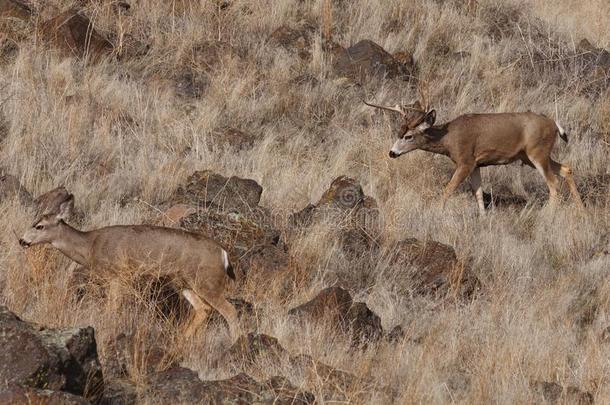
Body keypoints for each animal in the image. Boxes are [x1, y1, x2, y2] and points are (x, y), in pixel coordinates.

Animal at [19, 194, 238, 340]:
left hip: (207, 281)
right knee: (203, 309)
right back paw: (183, 338)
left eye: (39, 226)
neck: (90, 247)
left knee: (230, 310)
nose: (22, 240)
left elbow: (112, 308)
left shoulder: (117, 275)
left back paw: (235, 343)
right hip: (184, 282)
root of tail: (223, 254)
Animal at [364, 92, 580, 213]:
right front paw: (483, 219)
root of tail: (553, 124)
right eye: (398, 132)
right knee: (566, 169)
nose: (392, 153)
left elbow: (448, 189)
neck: (449, 139)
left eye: (408, 136)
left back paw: (548, 215)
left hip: (537, 151)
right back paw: (582, 211)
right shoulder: (476, 164)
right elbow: (478, 193)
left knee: (553, 183)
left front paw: (437, 212)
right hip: (527, 156)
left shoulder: (465, 160)